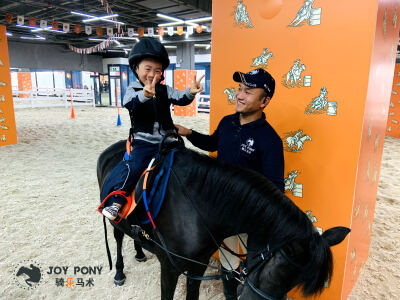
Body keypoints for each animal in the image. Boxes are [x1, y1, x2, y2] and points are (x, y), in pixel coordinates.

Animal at [97, 141, 350, 300]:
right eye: (277, 267)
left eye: (296, 281)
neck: (196, 208)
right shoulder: (169, 268)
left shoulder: (198, 264)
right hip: (115, 221)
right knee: (118, 237)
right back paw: (119, 272)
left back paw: (140, 251)